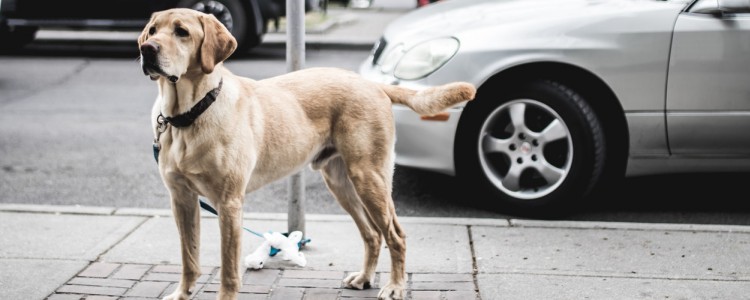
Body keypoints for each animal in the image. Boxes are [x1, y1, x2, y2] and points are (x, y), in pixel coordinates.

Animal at [137, 7, 476, 300]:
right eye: (152, 31)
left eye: (182, 32)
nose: (147, 49)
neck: (188, 114)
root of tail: (372, 84)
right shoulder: (182, 199)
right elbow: (189, 258)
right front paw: (182, 294)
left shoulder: (229, 203)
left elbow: (229, 271)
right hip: (341, 182)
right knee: (372, 234)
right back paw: (365, 278)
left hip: (370, 178)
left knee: (395, 234)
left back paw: (394, 286)